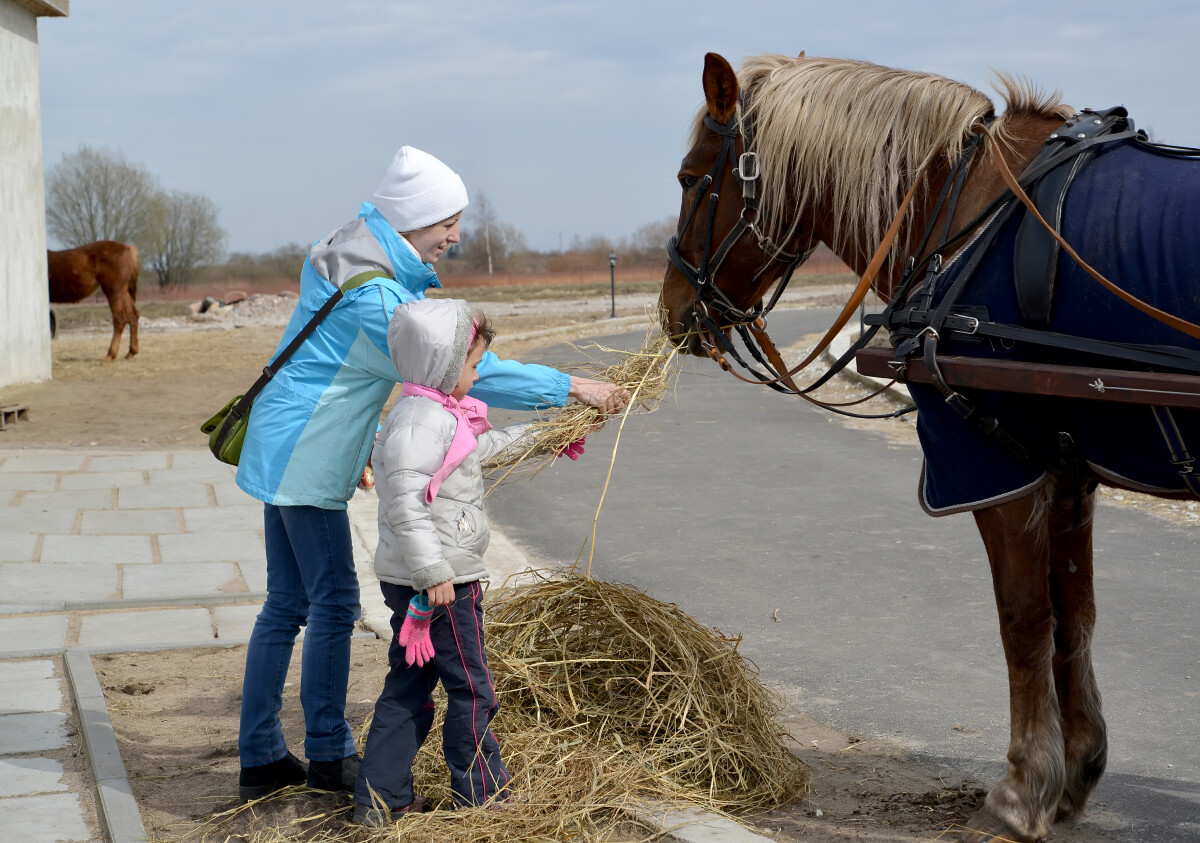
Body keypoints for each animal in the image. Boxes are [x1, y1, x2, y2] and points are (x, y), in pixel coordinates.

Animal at [662, 52, 1200, 843]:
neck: (967, 209)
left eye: (691, 176)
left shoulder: (990, 460)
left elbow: (1023, 618)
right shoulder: (1067, 466)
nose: (671, 310)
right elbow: (1074, 614)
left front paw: (1023, 787)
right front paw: (1077, 768)